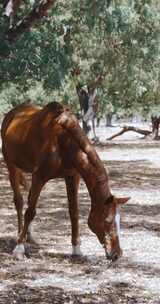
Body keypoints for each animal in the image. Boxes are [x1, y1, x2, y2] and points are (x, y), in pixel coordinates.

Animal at [0, 103, 129, 260]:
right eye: (107, 220)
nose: (117, 254)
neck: (64, 141)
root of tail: (13, 113)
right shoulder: (39, 177)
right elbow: (30, 212)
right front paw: (19, 248)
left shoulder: (72, 177)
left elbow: (74, 212)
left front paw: (76, 248)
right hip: (11, 165)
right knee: (19, 202)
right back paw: (20, 237)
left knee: (28, 199)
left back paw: (29, 236)